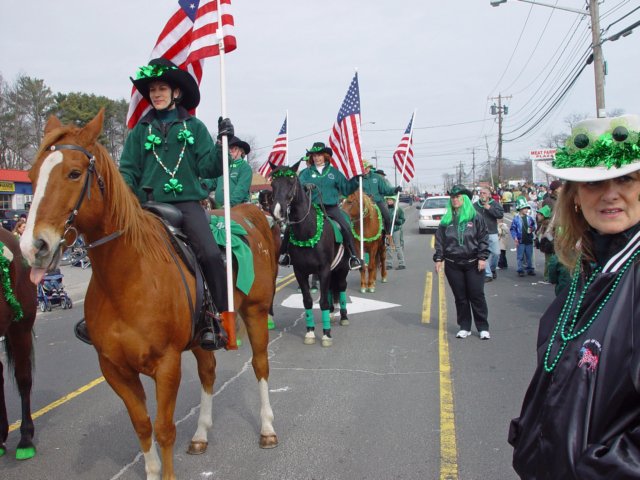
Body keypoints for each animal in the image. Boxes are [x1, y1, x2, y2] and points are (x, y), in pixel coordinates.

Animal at [21, 109, 278, 480]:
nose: (33, 247)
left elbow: (164, 428)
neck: (128, 279)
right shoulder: (114, 368)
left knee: (260, 365)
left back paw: (267, 429)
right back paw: (200, 434)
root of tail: (250, 213)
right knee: (209, 371)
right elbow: (142, 425)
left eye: (73, 173)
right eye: (32, 175)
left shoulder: (167, 365)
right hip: (202, 337)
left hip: (256, 312)